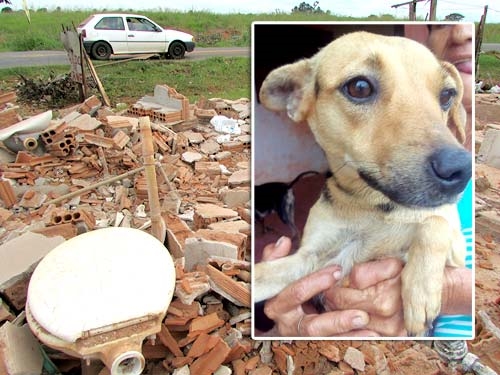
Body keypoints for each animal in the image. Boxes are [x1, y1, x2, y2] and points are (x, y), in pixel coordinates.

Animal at [256, 31, 470, 338]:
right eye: (359, 87)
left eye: (446, 95)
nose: (460, 169)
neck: (375, 205)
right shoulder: (314, 259)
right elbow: (260, 275)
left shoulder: (456, 250)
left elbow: (435, 222)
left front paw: (421, 293)